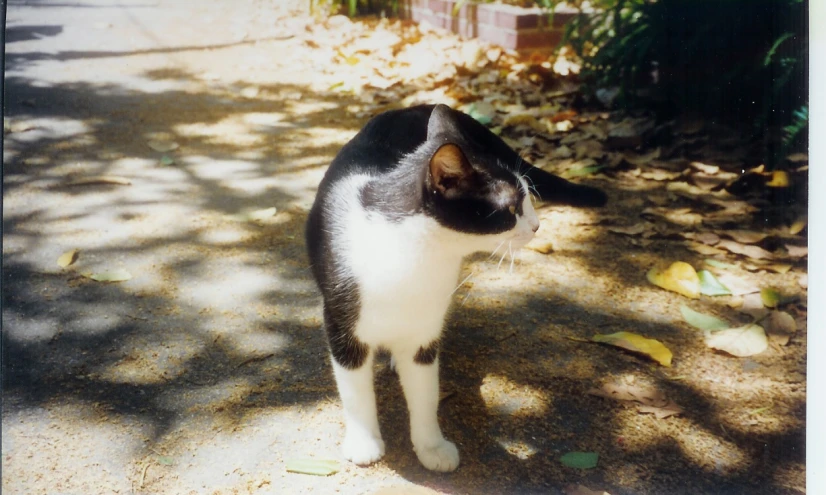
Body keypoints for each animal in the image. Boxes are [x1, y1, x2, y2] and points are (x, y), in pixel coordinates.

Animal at [304, 103, 604, 472]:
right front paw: (364, 441)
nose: (537, 225)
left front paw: (431, 446)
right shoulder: (341, 323)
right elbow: (355, 391)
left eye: (527, 200)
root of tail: (414, 106)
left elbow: (425, 393)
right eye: (511, 208)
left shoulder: (426, 331)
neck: (413, 254)